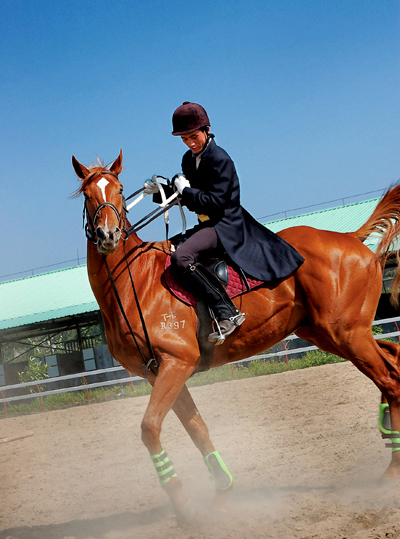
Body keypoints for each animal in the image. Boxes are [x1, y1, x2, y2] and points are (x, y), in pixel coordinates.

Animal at [72, 150, 400, 520]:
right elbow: (197, 429)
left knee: (389, 379)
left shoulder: (176, 363)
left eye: (118, 190)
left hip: (347, 334)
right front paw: (221, 491)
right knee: (392, 359)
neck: (134, 281)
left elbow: (150, 428)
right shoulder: (161, 372)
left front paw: (182, 503)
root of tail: (351, 237)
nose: (108, 235)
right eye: (87, 194)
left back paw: (392, 469)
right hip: (331, 334)